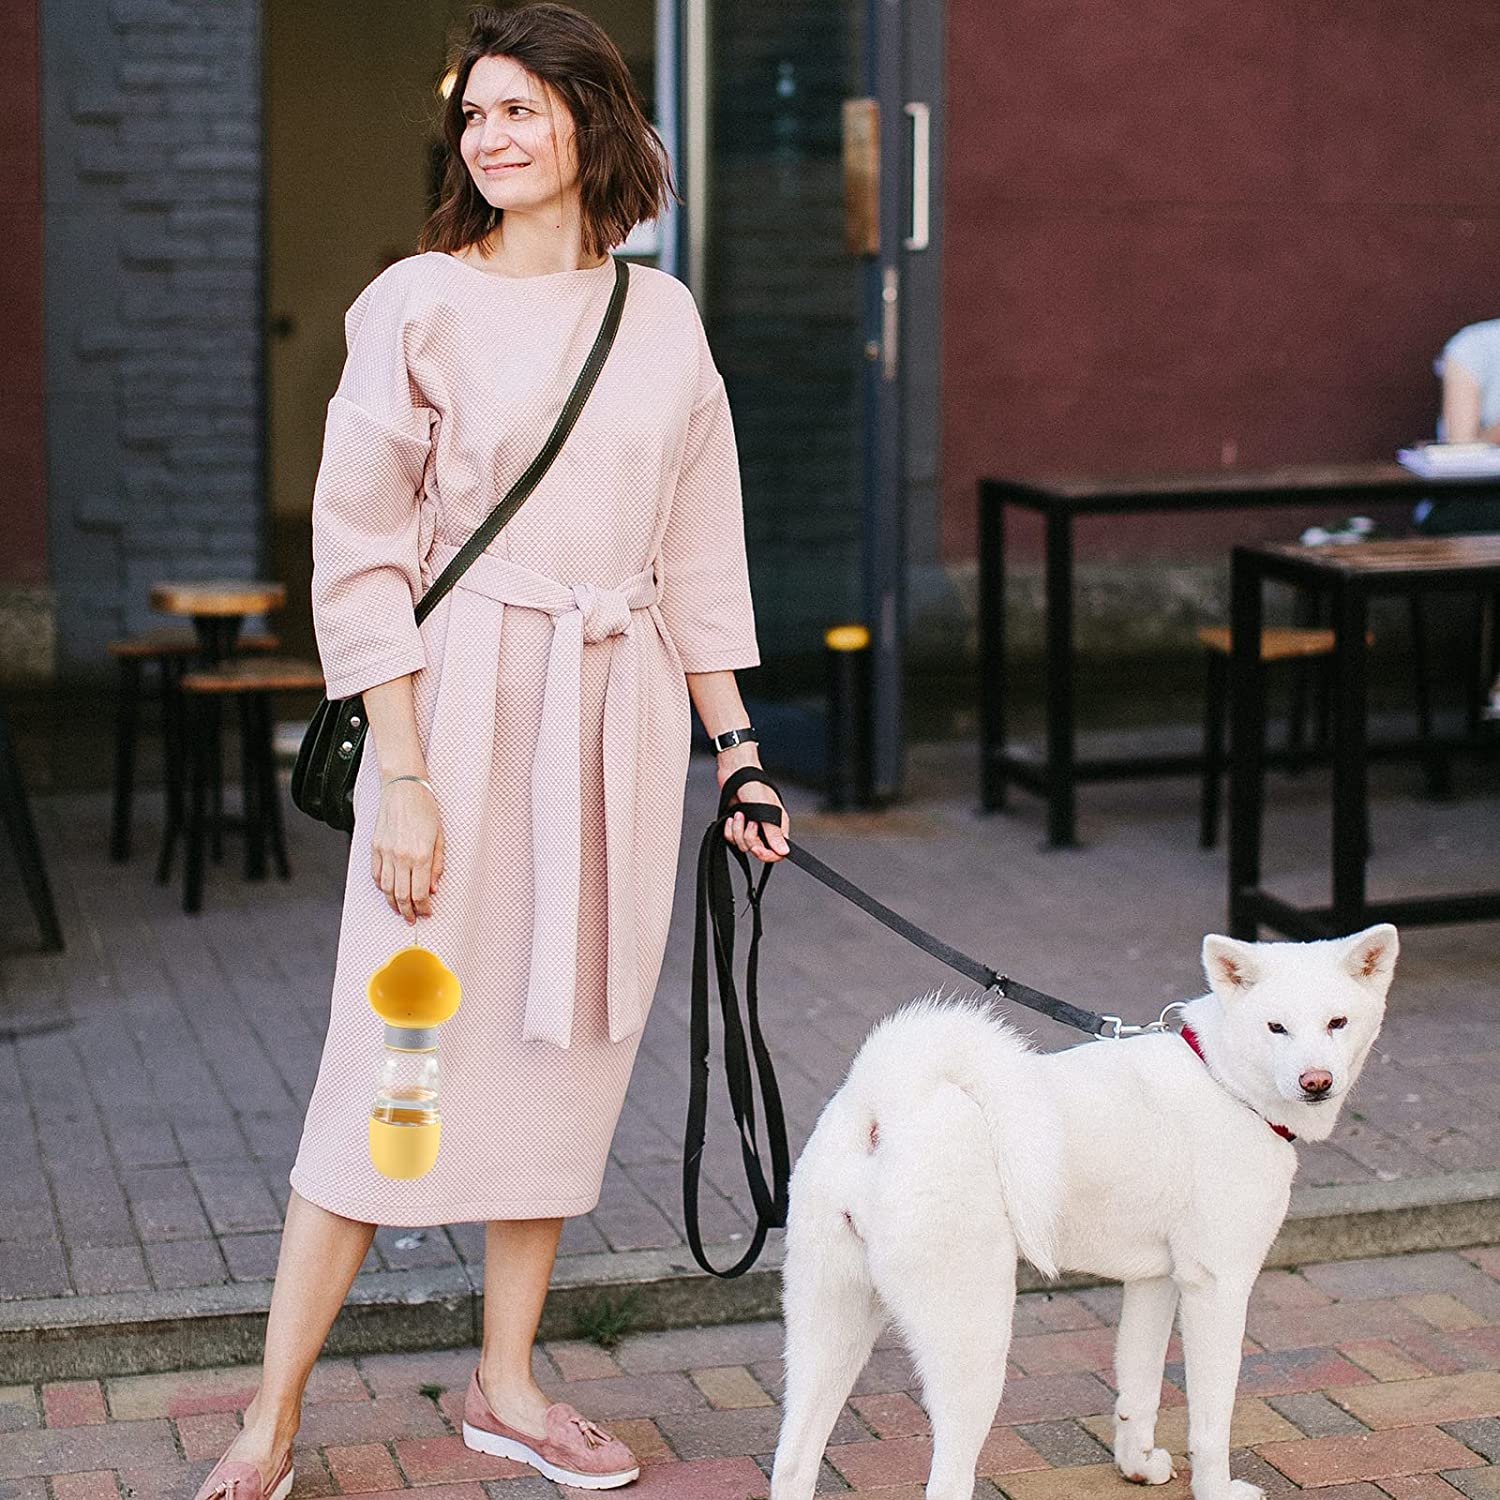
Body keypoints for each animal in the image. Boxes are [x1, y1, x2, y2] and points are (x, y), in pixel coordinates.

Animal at [774, 924, 1392, 1500]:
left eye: (1337, 1022)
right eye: (1275, 1028)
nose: (1316, 1081)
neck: (1223, 1080)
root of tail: (886, 1106)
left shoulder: (1155, 1281)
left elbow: (1139, 1388)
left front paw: (1137, 1466)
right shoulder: (1217, 1287)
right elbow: (1211, 1422)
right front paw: (1216, 1490)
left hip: (829, 1327)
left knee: (792, 1461)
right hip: (972, 1341)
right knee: (945, 1479)